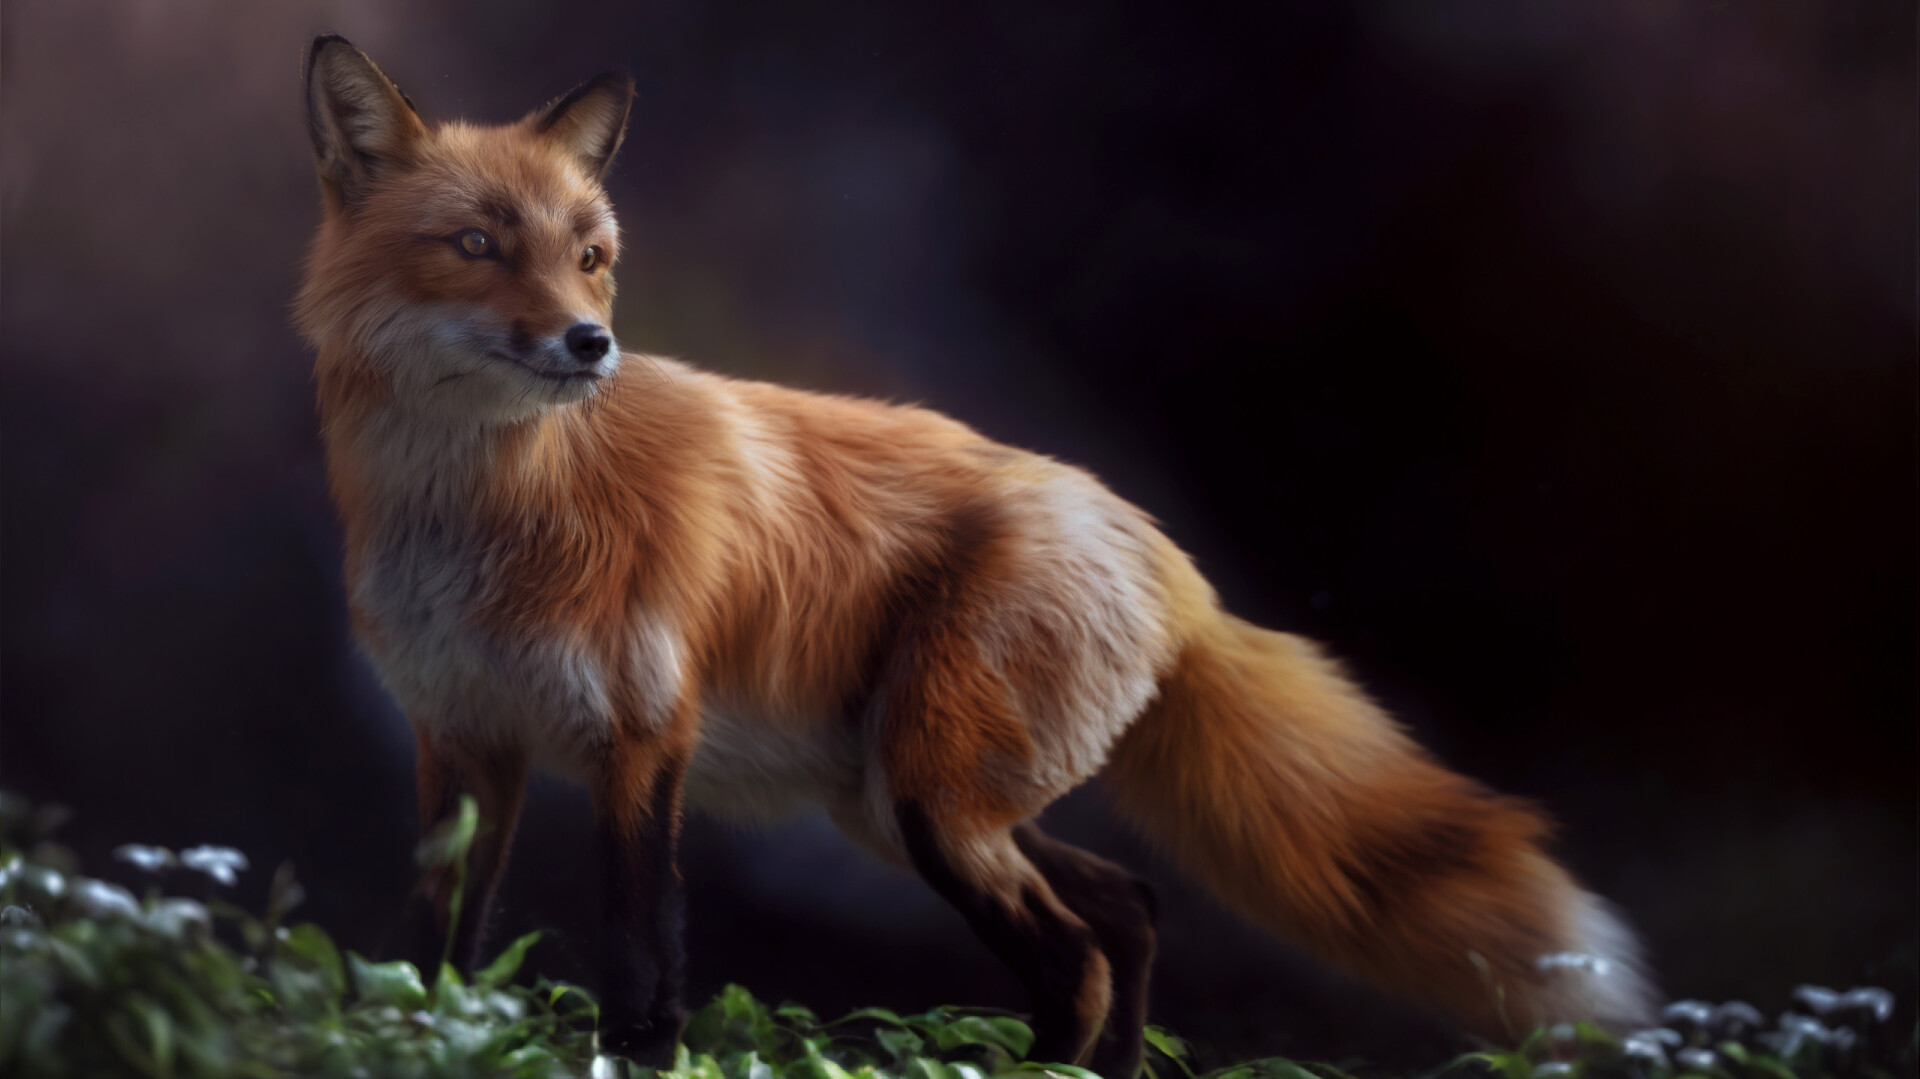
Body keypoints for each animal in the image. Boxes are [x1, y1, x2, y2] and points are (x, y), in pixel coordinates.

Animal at [295, 34, 1654, 1075]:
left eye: (590, 256)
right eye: (477, 245)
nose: (591, 344)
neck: (482, 518)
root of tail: (1173, 560)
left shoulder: (640, 737)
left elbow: (642, 955)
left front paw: (637, 1050)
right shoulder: (466, 739)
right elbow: (432, 945)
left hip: (932, 802)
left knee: (1080, 954)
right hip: (907, 797)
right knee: (1131, 907)